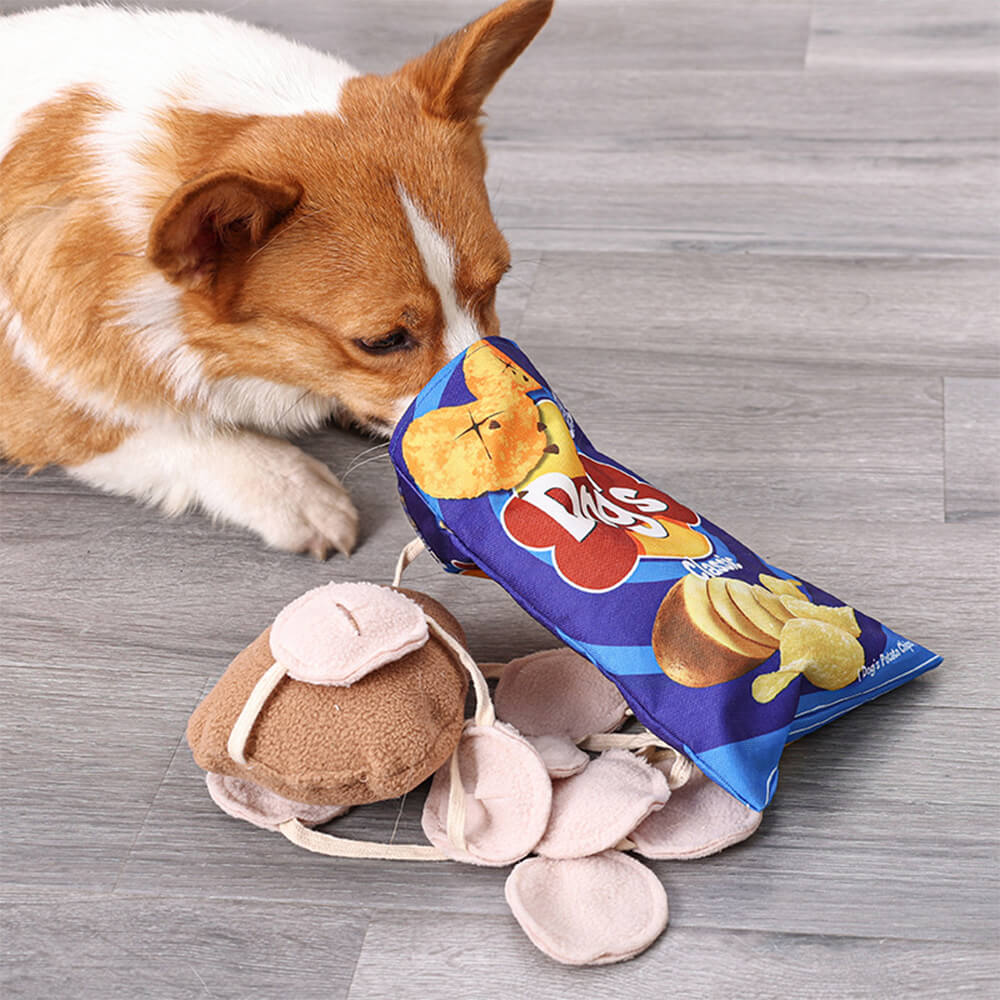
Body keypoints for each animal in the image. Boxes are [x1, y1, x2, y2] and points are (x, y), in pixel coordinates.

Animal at [0, 0, 552, 556]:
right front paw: (294, 491)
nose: (537, 442)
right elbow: (172, 434)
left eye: (497, 284)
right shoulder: (42, 404)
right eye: (383, 341)